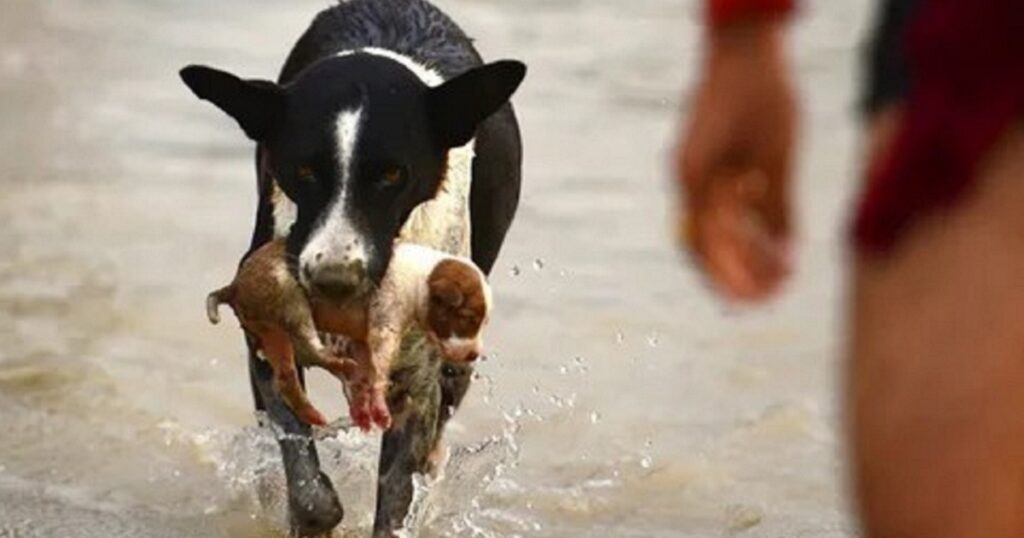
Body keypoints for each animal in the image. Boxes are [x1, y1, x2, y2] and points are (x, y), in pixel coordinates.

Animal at [179, 1, 524, 532]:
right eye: (303, 171)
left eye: (392, 175)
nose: (333, 281)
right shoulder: (267, 347)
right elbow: (306, 482)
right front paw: (310, 514)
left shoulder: (416, 386)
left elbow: (398, 494)